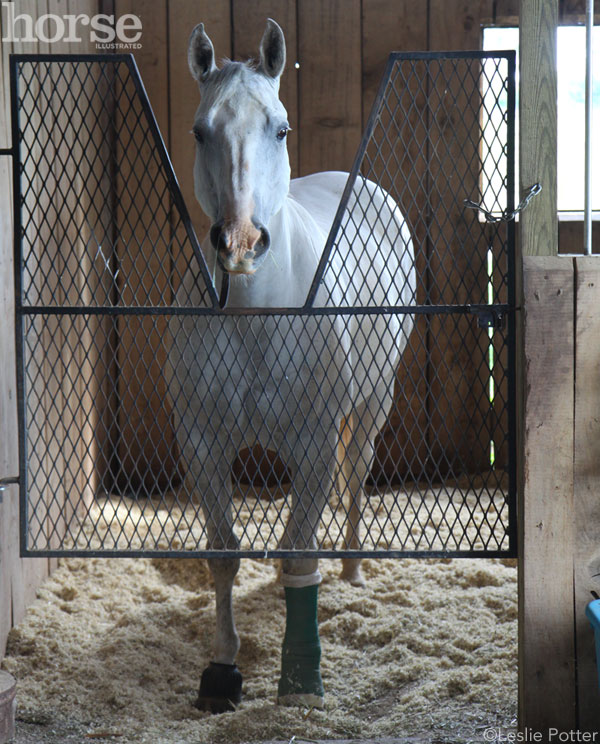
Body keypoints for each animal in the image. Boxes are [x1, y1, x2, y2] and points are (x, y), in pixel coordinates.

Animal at [166, 20, 414, 712]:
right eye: (200, 131)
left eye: (279, 128)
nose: (242, 242)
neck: (257, 318)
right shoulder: (201, 443)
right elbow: (224, 554)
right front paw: (223, 668)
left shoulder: (311, 443)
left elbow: (298, 555)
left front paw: (301, 675)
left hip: (374, 401)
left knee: (355, 471)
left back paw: (353, 567)